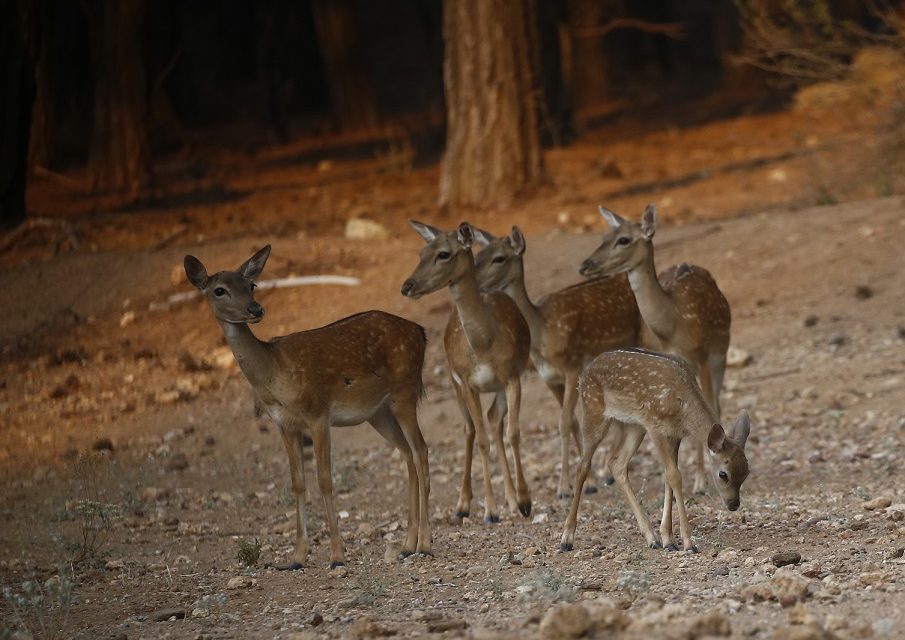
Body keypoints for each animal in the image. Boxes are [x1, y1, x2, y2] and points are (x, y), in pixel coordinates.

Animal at [184, 246, 430, 568]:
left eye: (251, 285)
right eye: (219, 290)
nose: (255, 309)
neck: (275, 375)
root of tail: (421, 331)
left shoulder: (318, 413)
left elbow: (325, 479)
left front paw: (337, 555)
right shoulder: (284, 423)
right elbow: (297, 483)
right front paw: (297, 557)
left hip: (405, 390)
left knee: (421, 450)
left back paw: (425, 544)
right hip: (378, 412)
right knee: (407, 454)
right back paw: (406, 544)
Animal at [400, 222, 532, 524]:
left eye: (444, 254)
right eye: (421, 252)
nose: (407, 286)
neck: (484, 344)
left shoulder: (512, 376)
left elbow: (513, 432)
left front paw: (524, 501)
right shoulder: (467, 381)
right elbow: (481, 439)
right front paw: (490, 511)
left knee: (494, 420)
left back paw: (510, 500)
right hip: (453, 381)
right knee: (470, 429)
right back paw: (462, 505)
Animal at [470, 225, 648, 500]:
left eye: (499, 258)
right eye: (478, 255)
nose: (476, 283)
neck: (542, 333)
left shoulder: (573, 368)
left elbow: (563, 423)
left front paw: (563, 488)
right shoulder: (549, 378)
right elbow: (571, 421)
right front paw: (589, 481)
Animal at [560, 348, 752, 552]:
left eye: (747, 473)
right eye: (723, 474)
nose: (733, 504)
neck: (683, 407)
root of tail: (584, 374)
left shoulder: (674, 435)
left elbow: (669, 477)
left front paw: (669, 540)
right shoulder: (655, 427)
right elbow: (675, 476)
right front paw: (689, 543)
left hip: (634, 425)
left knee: (617, 464)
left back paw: (651, 538)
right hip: (593, 410)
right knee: (583, 466)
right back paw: (566, 539)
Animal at [580, 205, 736, 496]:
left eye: (624, 240)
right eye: (605, 235)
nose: (585, 265)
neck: (672, 325)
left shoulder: (702, 357)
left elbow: (708, 413)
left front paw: (700, 481)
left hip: (721, 352)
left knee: (717, 403)